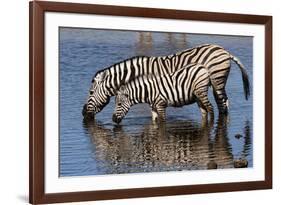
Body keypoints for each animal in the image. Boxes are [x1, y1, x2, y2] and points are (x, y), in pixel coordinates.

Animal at [82, 44, 248, 119]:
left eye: (90, 92)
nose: (83, 113)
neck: (138, 73)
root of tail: (224, 50)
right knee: (225, 102)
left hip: (217, 81)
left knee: (221, 104)